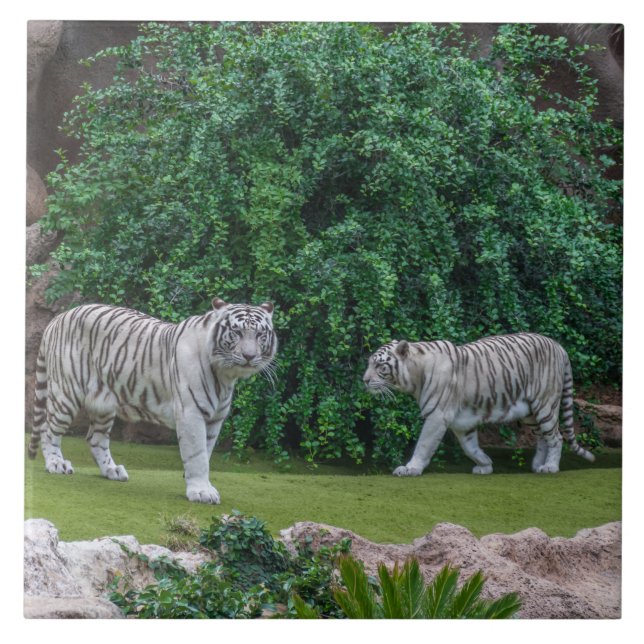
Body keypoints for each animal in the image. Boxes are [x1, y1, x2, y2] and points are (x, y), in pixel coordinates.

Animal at [28, 297, 277, 504]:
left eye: (260, 335)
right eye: (236, 332)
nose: (249, 356)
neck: (225, 376)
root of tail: (58, 318)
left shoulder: (215, 419)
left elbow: (205, 453)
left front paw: (199, 484)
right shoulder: (191, 413)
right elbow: (197, 454)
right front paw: (200, 491)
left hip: (103, 403)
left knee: (95, 439)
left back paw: (112, 471)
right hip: (66, 393)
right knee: (48, 430)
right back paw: (56, 464)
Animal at [363, 332, 595, 476]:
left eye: (380, 365)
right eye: (369, 363)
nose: (364, 380)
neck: (414, 376)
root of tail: (559, 346)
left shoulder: (437, 415)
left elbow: (424, 444)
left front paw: (411, 469)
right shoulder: (461, 422)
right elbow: (470, 447)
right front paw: (485, 465)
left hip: (545, 404)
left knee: (556, 437)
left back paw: (550, 467)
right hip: (530, 412)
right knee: (542, 437)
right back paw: (538, 465)